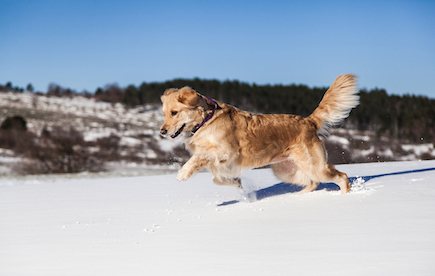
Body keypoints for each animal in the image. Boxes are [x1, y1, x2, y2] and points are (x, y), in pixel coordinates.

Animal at [162, 74, 360, 193]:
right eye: (164, 113)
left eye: (174, 112)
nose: (162, 131)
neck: (207, 120)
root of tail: (308, 121)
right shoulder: (221, 163)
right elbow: (217, 179)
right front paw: (236, 182)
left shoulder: (228, 152)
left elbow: (199, 157)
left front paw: (183, 173)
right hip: (285, 169)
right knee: (313, 182)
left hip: (314, 166)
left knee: (341, 177)